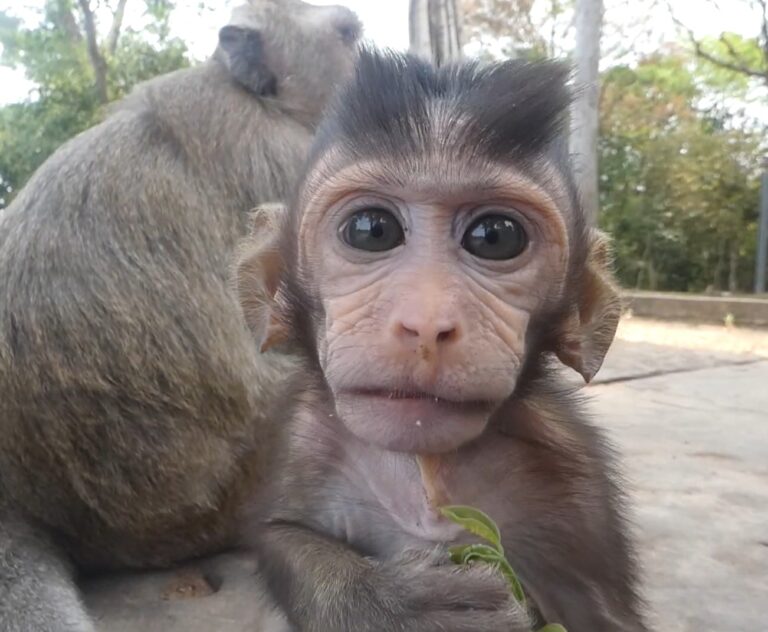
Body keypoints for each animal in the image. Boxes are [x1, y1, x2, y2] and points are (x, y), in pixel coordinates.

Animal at [234, 48, 652, 632]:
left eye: (495, 237)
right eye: (371, 230)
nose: (427, 323)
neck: (425, 468)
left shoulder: (575, 475)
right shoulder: (303, 435)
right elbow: (281, 535)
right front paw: (395, 605)